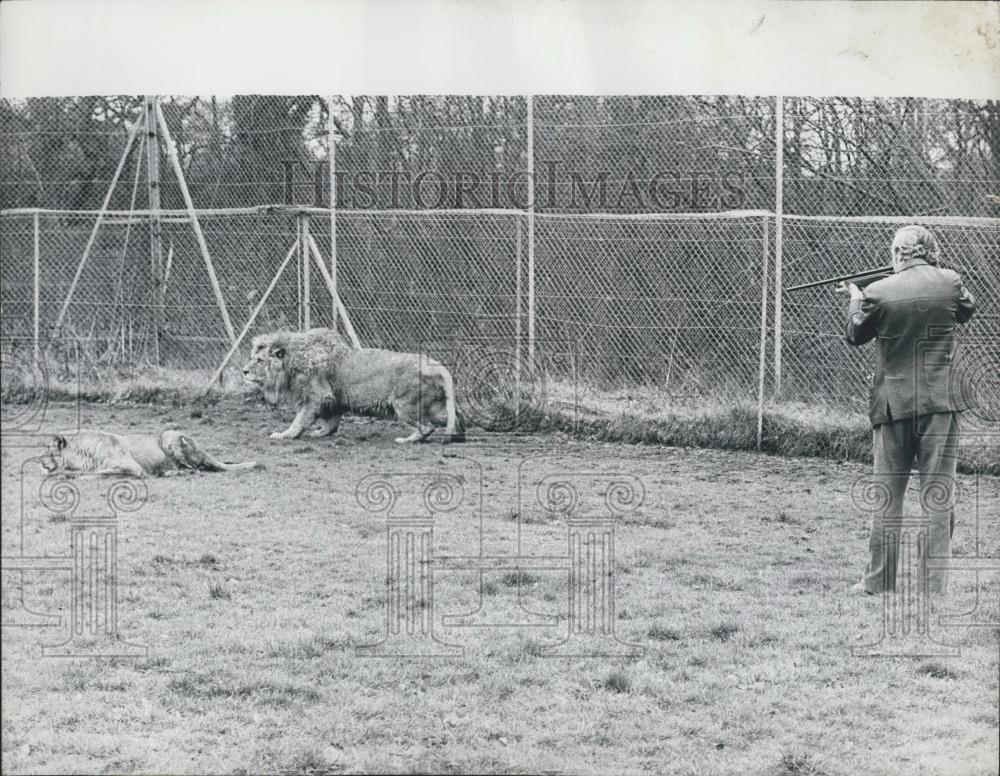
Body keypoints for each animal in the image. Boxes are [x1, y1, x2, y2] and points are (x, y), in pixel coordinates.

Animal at [242, 328, 464, 446]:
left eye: (259, 360)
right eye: (253, 358)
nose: (243, 371)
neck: (294, 362)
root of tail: (434, 363)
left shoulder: (317, 396)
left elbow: (299, 420)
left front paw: (284, 435)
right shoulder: (334, 400)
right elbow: (331, 423)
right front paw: (320, 433)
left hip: (403, 404)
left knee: (427, 426)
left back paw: (406, 440)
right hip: (432, 405)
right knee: (454, 417)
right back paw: (458, 434)